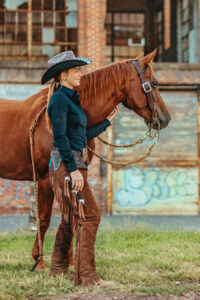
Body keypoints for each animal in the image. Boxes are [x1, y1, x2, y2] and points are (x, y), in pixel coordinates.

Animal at [0, 49, 170, 270]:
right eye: (155, 82)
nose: (166, 118)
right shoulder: (45, 179)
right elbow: (44, 218)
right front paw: (39, 261)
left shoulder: (77, 176)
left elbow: (72, 215)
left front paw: (70, 262)